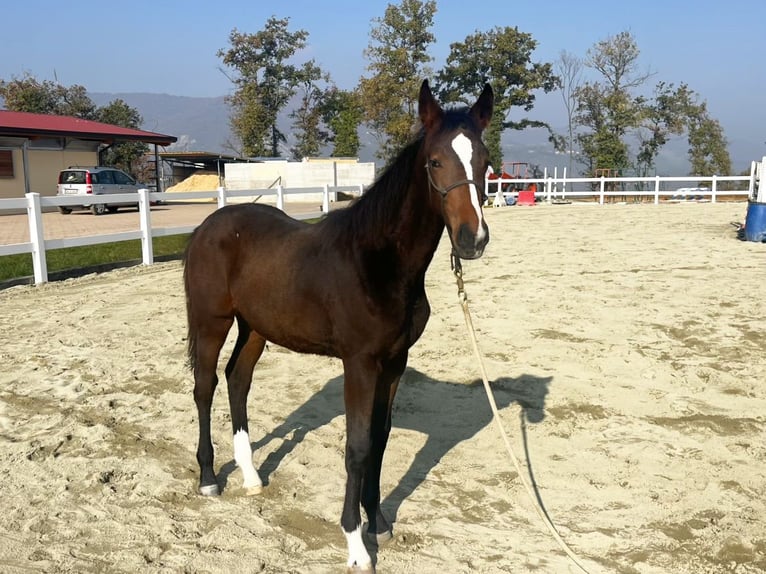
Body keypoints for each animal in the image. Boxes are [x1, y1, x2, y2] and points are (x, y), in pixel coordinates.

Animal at [183, 79, 493, 573]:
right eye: (435, 161)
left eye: (483, 161)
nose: (472, 240)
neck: (378, 262)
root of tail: (206, 227)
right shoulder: (360, 364)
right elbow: (358, 447)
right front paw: (355, 542)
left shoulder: (394, 362)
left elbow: (380, 440)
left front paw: (378, 521)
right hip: (213, 321)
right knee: (205, 386)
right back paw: (210, 477)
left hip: (255, 328)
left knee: (237, 380)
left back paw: (251, 476)